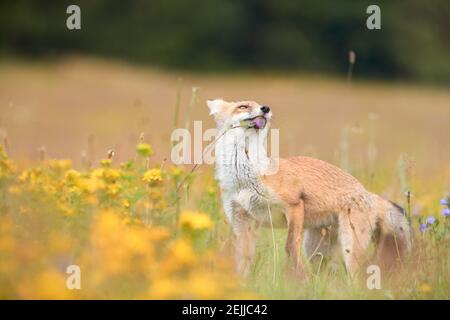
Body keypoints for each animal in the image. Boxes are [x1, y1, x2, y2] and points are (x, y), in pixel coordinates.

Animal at [207, 98, 412, 278]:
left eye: (260, 105)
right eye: (243, 106)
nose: (265, 108)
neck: (245, 178)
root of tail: (368, 193)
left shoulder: (294, 205)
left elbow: (290, 246)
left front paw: (298, 278)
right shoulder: (241, 221)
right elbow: (243, 260)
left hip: (349, 247)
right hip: (316, 251)